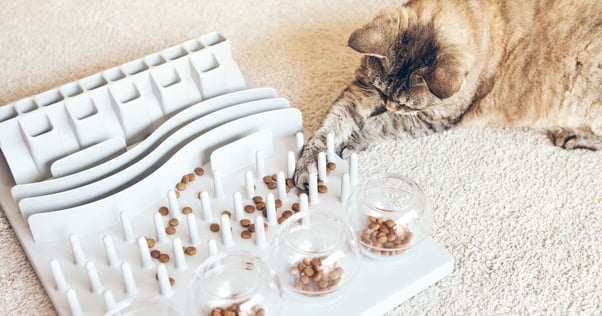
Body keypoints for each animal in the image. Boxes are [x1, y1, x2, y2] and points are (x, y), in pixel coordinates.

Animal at [290, 0, 596, 188]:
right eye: (380, 90)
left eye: (407, 105)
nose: (388, 104)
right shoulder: (361, 89)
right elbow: (329, 128)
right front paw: (312, 164)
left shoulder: (431, 119)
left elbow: (379, 125)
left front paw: (355, 140)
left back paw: (573, 135)